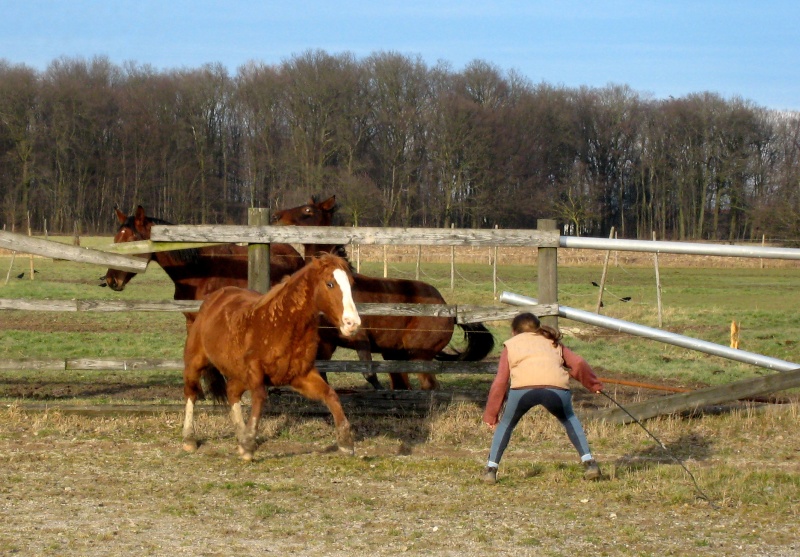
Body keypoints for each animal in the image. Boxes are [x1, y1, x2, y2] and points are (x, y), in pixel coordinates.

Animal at [181, 254, 360, 458]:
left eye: (351, 284)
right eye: (330, 284)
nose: (352, 324)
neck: (280, 325)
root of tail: (213, 298)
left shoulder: (301, 376)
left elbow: (331, 395)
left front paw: (346, 443)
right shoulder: (255, 374)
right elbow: (260, 398)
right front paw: (248, 446)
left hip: (239, 375)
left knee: (231, 392)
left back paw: (240, 437)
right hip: (195, 362)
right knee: (191, 393)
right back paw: (189, 440)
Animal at [274, 195, 494, 390]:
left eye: (307, 210)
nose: (277, 216)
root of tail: (450, 311)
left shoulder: (361, 340)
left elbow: (370, 375)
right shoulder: (327, 344)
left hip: (418, 355)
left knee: (430, 386)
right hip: (394, 355)